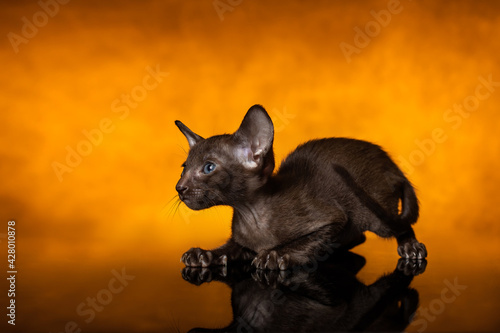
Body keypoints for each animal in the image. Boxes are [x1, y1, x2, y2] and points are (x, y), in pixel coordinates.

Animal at [175, 104, 426, 270]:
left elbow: (304, 241)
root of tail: (392, 166)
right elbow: (228, 249)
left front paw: (273, 256)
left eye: (208, 167)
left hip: (374, 214)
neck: (251, 214)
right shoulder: (240, 243)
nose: (179, 187)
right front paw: (204, 254)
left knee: (400, 225)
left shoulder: (333, 219)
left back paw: (411, 247)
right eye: (184, 167)